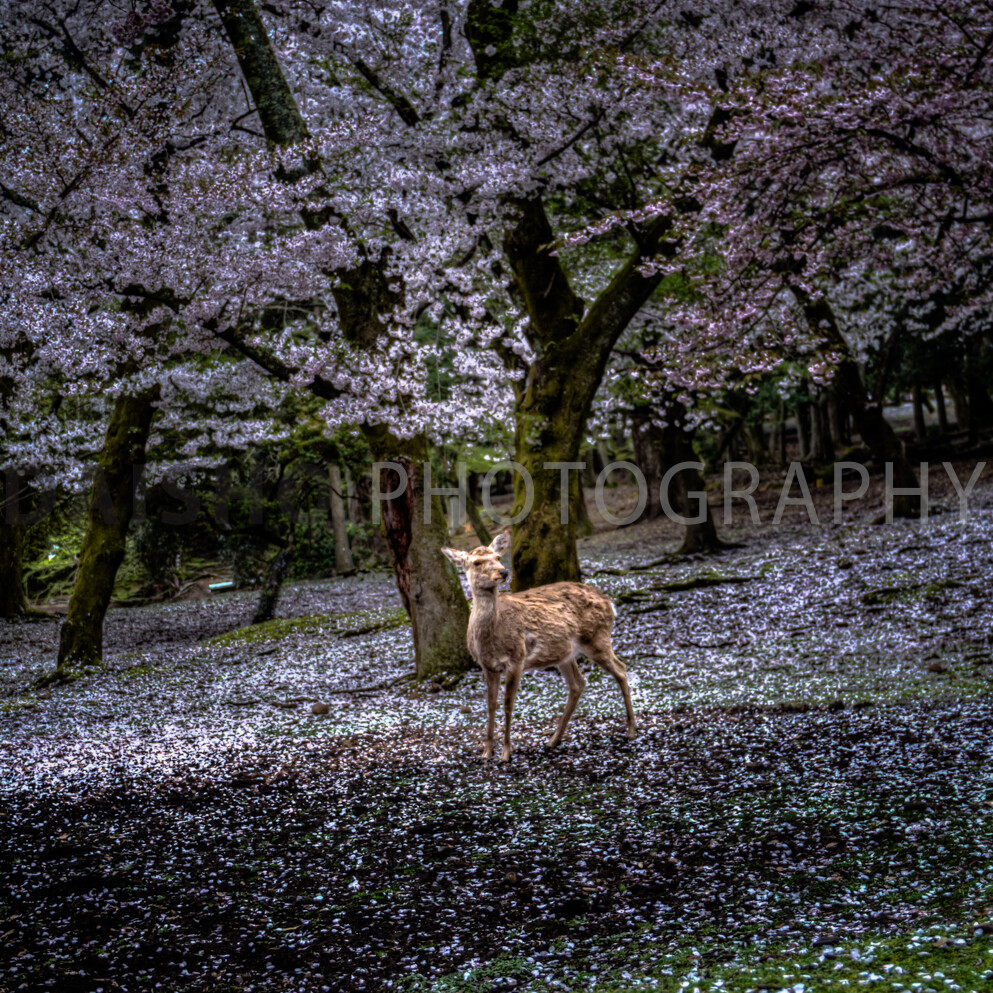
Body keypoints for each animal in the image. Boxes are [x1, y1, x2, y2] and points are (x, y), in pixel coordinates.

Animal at [442, 532, 636, 761]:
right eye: (476, 562)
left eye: (498, 557)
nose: (503, 571)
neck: (490, 637)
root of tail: (610, 603)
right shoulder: (487, 665)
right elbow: (490, 704)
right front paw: (486, 752)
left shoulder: (517, 658)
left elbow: (508, 703)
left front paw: (506, 752)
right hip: (565, 654)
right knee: (578, 683)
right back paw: (553, 740)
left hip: (597, 637)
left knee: (621, 669)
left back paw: (631, 729)